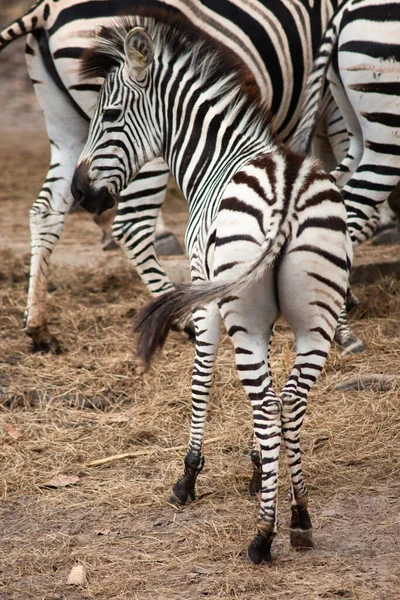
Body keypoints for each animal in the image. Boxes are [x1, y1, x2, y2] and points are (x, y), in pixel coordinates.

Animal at [0, 0, 346, 354]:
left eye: (110, 114)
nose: (81, 192)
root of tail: (45, 10)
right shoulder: (334, 99)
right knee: (132, 226)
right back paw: (182, 316)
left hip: (64, 127)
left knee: (45, 212)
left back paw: (39, 327)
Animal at [72, 15, 354, 568]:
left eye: (108, 114)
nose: (79, 193)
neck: (217, 155)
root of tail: (289, 182)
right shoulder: (264, 315)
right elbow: (265, 395)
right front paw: (259, 469)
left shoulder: (208, 298)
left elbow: (201, 378)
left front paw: (188, 476)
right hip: (317, 318)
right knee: (289, 399)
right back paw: (299, 517)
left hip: (243, 314)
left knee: (267, 402)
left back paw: (263, 537)